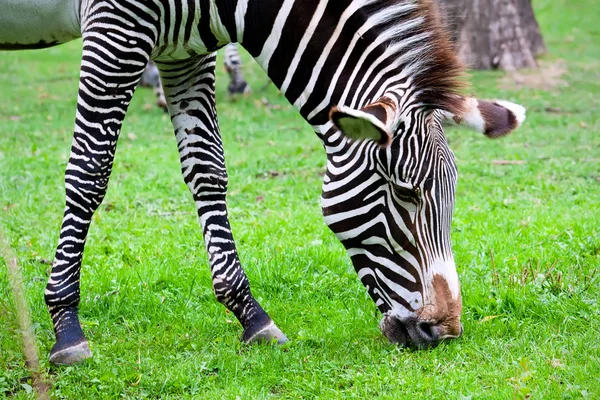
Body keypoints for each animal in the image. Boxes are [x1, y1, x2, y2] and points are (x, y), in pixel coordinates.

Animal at [1, 0, 524, 366]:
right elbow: (90, 170)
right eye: (405, 193)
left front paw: (250, 315)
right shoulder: (116, 27)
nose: (445, 332)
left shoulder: (184, 48)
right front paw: (66, 326)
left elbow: (208, 168)